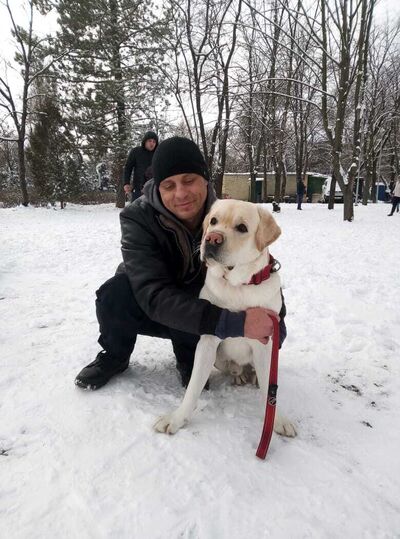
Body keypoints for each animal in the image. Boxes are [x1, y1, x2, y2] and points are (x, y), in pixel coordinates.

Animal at [154, 199, 296, 438]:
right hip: (219, 357)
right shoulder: (207, 342)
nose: (212, 238)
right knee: (234, 367)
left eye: (242, 227)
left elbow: (269, 388)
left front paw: (278, 420)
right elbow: (193, 386)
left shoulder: (265, 342)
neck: (238, 285)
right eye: (213, 221)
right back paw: (238, 373)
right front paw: (176, 418)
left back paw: (252, 376)